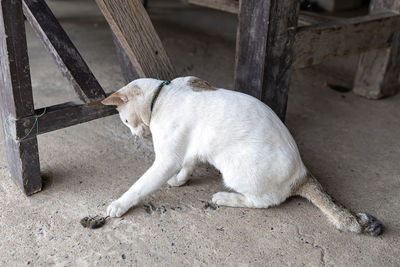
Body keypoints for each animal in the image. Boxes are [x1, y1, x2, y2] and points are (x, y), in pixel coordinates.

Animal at [102, 77, 382, 237]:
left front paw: (119, 204)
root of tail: (302, 172)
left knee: (265, 201)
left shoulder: (167, 159)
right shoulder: (192, 147)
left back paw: (225, 197)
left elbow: (140, 186)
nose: (135, 134)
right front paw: (180, 181)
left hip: (235, 167)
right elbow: (188, 165)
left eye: (125, 121)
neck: (161, 95)